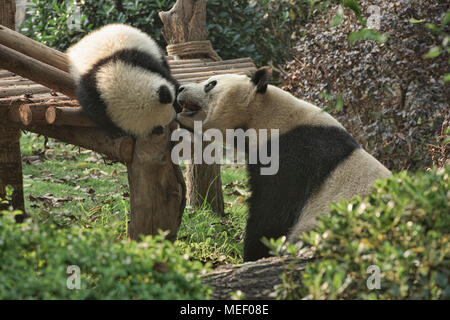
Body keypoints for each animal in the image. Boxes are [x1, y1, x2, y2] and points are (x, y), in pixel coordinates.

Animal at [176, 69, 390, 262]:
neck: (266, 115)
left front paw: (254, 255)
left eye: (210, 84)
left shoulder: (293, 155)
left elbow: (272, 213)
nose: (180, 88)